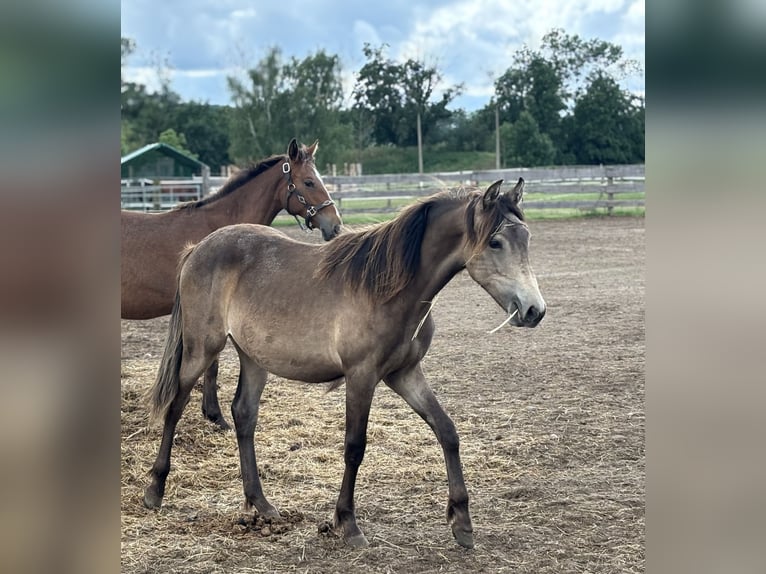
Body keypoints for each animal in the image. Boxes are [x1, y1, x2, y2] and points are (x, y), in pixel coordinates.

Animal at [142, 179, 544, 548]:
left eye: (525, 238)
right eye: (495, 242)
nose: (534, 310)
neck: (389, 288)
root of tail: (197, 249)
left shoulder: (404, 374)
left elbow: (447, 431)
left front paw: (461, 520)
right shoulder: (361, 376)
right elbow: (354, 447)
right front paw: (346, 522)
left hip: (253, 358)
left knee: (243, 414)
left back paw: (261, 504)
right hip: (201, 350)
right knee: (175, 407)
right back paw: (155, 490)